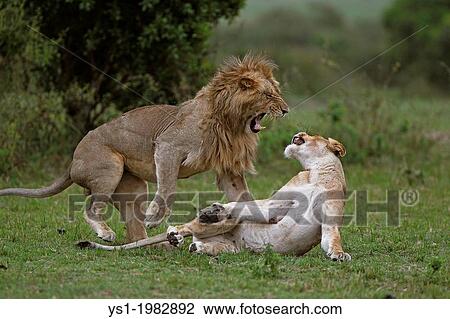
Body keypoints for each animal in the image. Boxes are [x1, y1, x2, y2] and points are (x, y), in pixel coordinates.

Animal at [0, 55, 288, 245]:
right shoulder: (168, 146)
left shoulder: (228, 169)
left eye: (276, 93)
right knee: (90, 208)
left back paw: (159, 244)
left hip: (133, 188)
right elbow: (169, 188)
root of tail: (72, 163)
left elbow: (245, 198)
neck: (230, 122)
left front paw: (265, 218)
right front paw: (154, 218)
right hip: (109, 167)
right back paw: (107, 233)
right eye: (269, 95)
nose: (286, 110)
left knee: (132, 227)